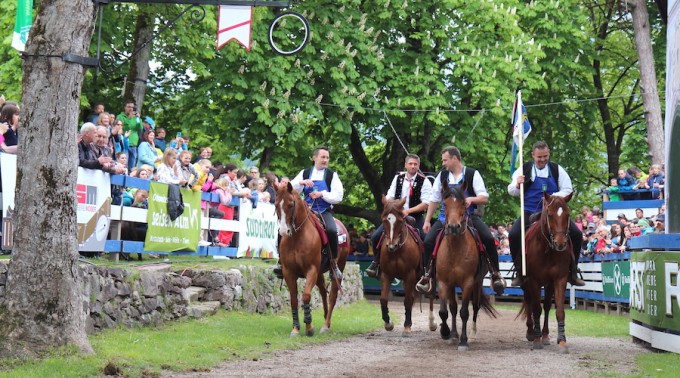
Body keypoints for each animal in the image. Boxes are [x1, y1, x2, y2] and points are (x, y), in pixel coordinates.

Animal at [276, 182, 350, 336]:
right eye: (275, 205)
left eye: (290, 204)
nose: (284, 231)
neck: (297, 238)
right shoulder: (288, 272)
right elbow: (293, 300)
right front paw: (296, 328)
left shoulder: (311, 270)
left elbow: (305, 296)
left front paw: (309, 327)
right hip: (320, 273)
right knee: (323, 293)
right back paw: (326, 319)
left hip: (337, 269)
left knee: (332, 296)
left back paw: (326, 325)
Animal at [378, 196, 436, 336]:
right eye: (384, 220)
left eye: (399, 221)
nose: (391, 246)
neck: (397, 251)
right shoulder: (386, 274)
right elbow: (383, 299)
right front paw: (388, 323)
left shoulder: (409, 275)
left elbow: (408, 300)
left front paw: (407, 325)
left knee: (431, 296)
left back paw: (432, 323)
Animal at [432, 183, 496, 352]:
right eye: (444, 204)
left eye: (463, 203)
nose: (454, 226)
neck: (455, 249)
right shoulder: (443, 282)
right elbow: (444, 311)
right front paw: (446, 332)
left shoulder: (468, 282)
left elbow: (465, 312)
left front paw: (463, 341)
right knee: (453, 307)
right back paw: (453, 334)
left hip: (477, 283)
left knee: (475, 307)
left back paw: (472, 334)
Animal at [520, 192, 572, 354]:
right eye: (549, 215)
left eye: (568, 214)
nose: (560, 243)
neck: (547, 249)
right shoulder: (533, 280)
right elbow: (536, 309)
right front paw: (536, 339)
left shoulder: (559, 279)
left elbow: (559, 310)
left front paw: (562, 341)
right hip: (527, 284)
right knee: (529, 302)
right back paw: (531, 332)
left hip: (548, 285)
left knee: (548, 305)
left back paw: (545, 335)